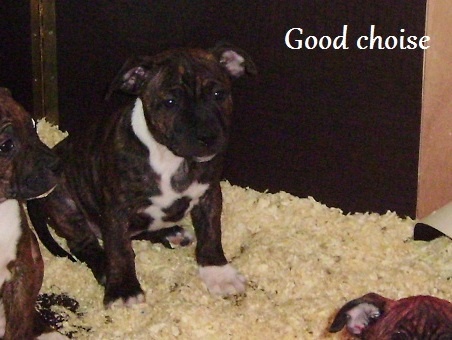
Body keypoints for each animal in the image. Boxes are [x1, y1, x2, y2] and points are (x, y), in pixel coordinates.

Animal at [29, 43, 258, 306]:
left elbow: (211, 232)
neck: (172, 159)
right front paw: (123, 289)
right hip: (64, 203)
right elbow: (120, 249)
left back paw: (171, 232)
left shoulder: (209, 193)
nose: (207, 137)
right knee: (84, 244)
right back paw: (104, 267)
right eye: (170, 102)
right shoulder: (116, 208)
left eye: (219, 94)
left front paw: (218, 272)